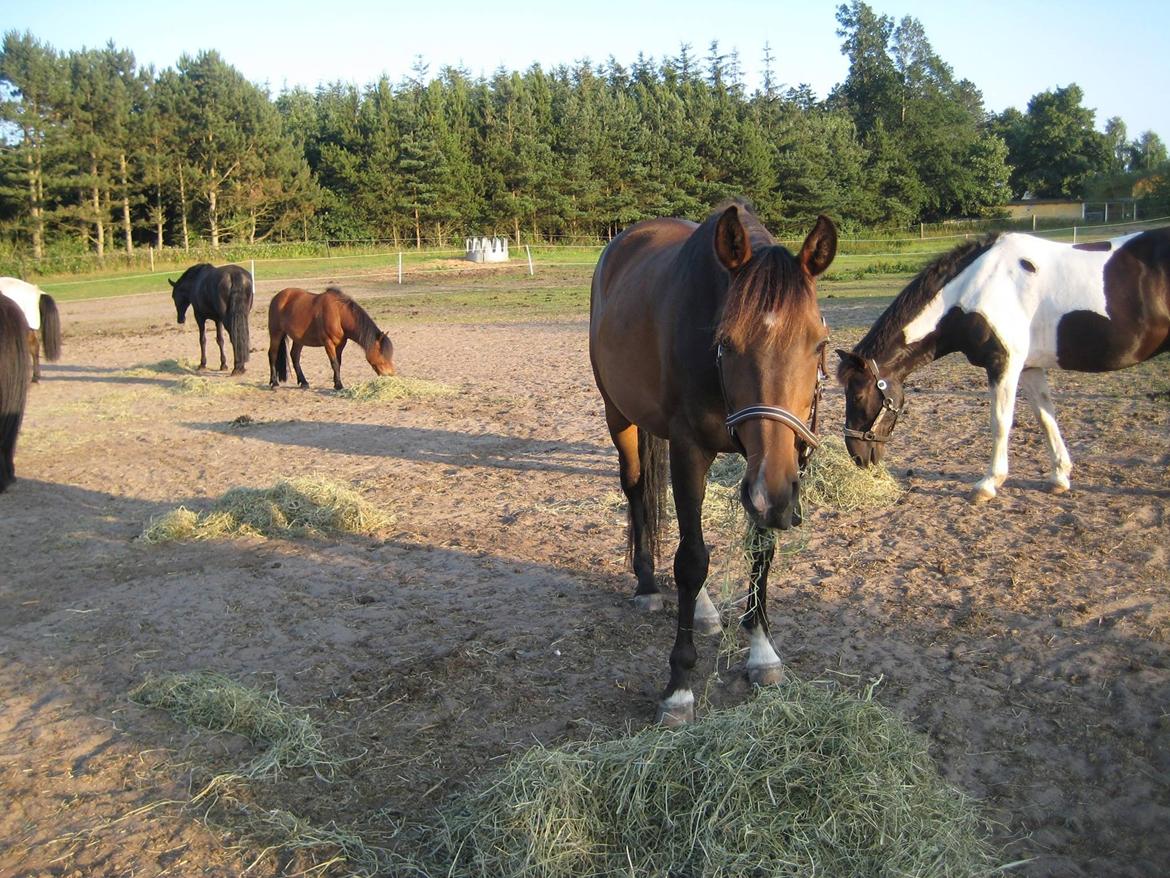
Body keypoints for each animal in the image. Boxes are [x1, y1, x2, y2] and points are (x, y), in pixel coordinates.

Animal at [267, 286, 395, 391]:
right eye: (382, 354)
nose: (391, 374)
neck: (339, 315)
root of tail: (278, 297)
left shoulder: (340, 345)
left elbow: (339, 363)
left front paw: (336, 383)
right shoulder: (328, 343)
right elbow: (334, 363)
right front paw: (339, 385)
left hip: (299, 339)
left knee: (295, 356)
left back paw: (303, 382)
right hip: (276, 333)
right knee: (272, 354)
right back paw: (274, 383)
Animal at [589, 202, 837, 725]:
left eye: (819, 343)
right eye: (726, 341)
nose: (774, 495)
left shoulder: (769, 467)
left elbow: (759, 550)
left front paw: (762, 650)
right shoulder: (689, 450)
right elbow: (691, 560)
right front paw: (679, 687)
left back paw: (701, 610)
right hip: (618, 414)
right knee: (637, 489)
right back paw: (646, 585)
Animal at [842, 228, 1170, 501]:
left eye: (857, 396)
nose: (858, 457)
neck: (974, 288)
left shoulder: (1003, 363)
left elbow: (1000, 422)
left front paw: (988, 484)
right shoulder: (1029, 368)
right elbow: (1045, 417)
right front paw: (1059, 477)